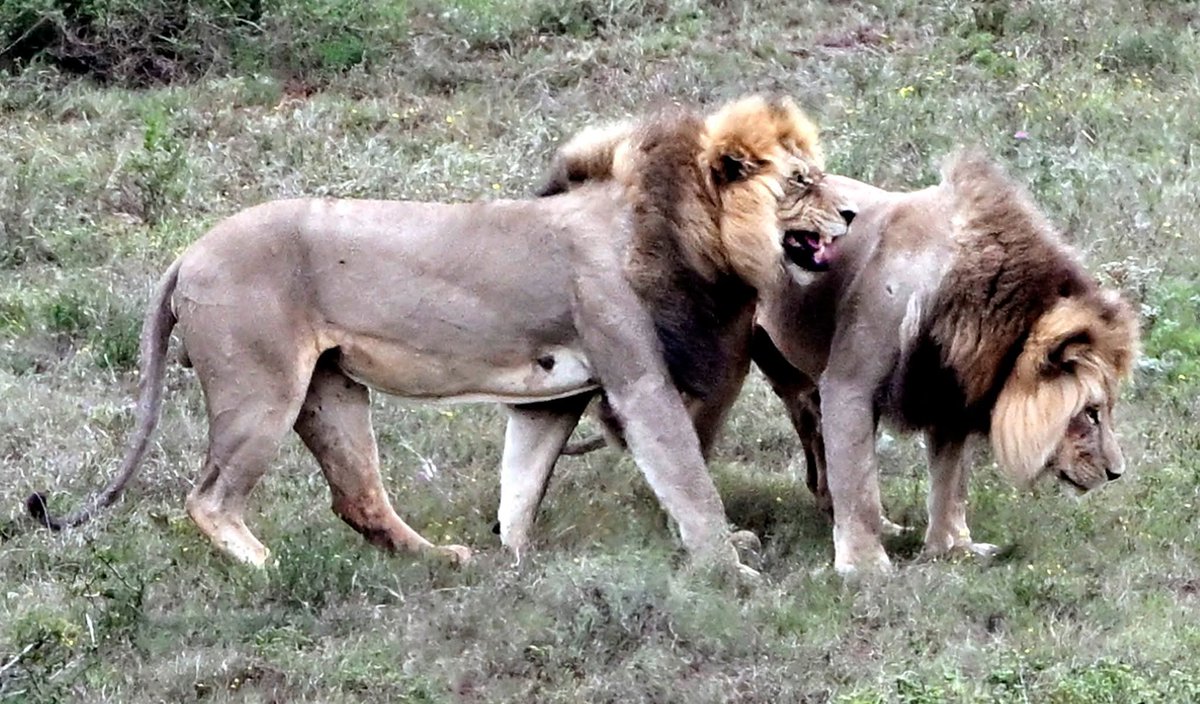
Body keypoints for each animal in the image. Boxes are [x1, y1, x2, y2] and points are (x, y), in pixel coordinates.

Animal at [26, 96, 853, 576]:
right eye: (803, 181)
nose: (849, 214)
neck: (685, 234)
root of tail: (186, 253)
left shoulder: (552, 394)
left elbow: (523, 479)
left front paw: (515, 555)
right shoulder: (638, 381)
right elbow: (689, 481)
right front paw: (730, 568)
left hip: (329, 389)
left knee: (358, 497)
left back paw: (442, 560)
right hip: (259, 391)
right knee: (208, 499)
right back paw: (268, 569)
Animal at [534, 134, 1139, 575]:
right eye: (1089, 413)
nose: (1116, 473)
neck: (986, 316)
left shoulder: (946, 389)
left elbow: (950, 485)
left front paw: (952, 549)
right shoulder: (852, 381)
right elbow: (863, 487)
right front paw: (866, 571)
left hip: (796, 376)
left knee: (818, 462)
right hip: (724, 362)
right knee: (679, 445)